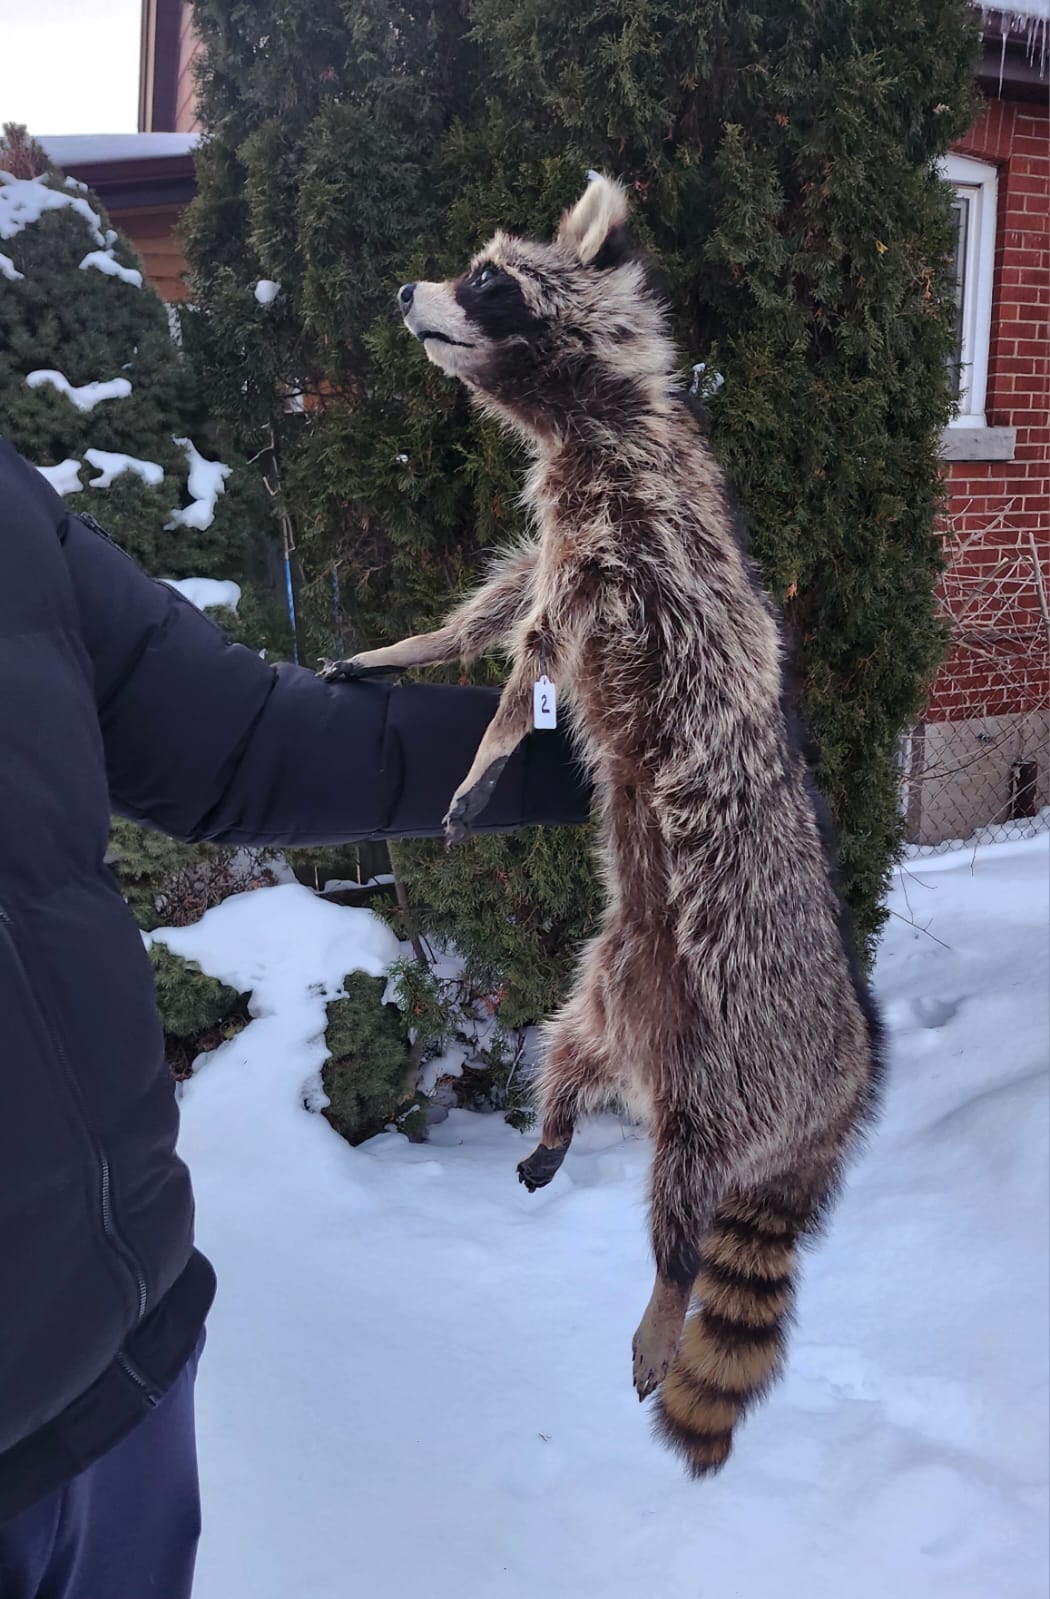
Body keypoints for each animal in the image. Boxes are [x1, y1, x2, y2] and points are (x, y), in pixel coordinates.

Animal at [321, 176, 883, 1477]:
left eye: (484, 280)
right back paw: (557, 1117)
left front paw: (487, 745)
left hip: (733, 1064)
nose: (401, 289)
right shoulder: (566, 528)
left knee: (686, 1198)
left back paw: (667, 1293)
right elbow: (495, 606)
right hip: (610, 976)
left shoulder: (628, 546)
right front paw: (411, 644)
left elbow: (533, 649)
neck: (588, 413)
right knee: (565, 1043)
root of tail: (844, 1076)